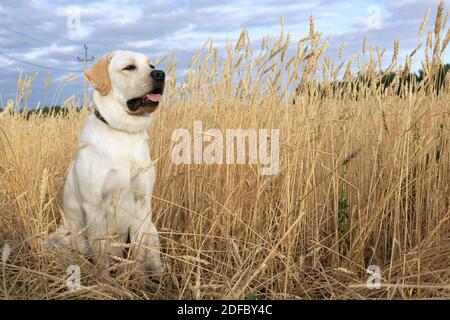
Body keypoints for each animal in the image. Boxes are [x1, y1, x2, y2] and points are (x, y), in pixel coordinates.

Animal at [45, 51, 164, 274]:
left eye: (151, 65)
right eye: (129, 67)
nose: (160, 73)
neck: (124, 132)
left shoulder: (143, 203)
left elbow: (138, 256)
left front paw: (137, 279)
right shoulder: (94, 206)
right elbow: (101, 254)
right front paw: (104, 279)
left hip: (152, 231)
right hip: (60, 237)